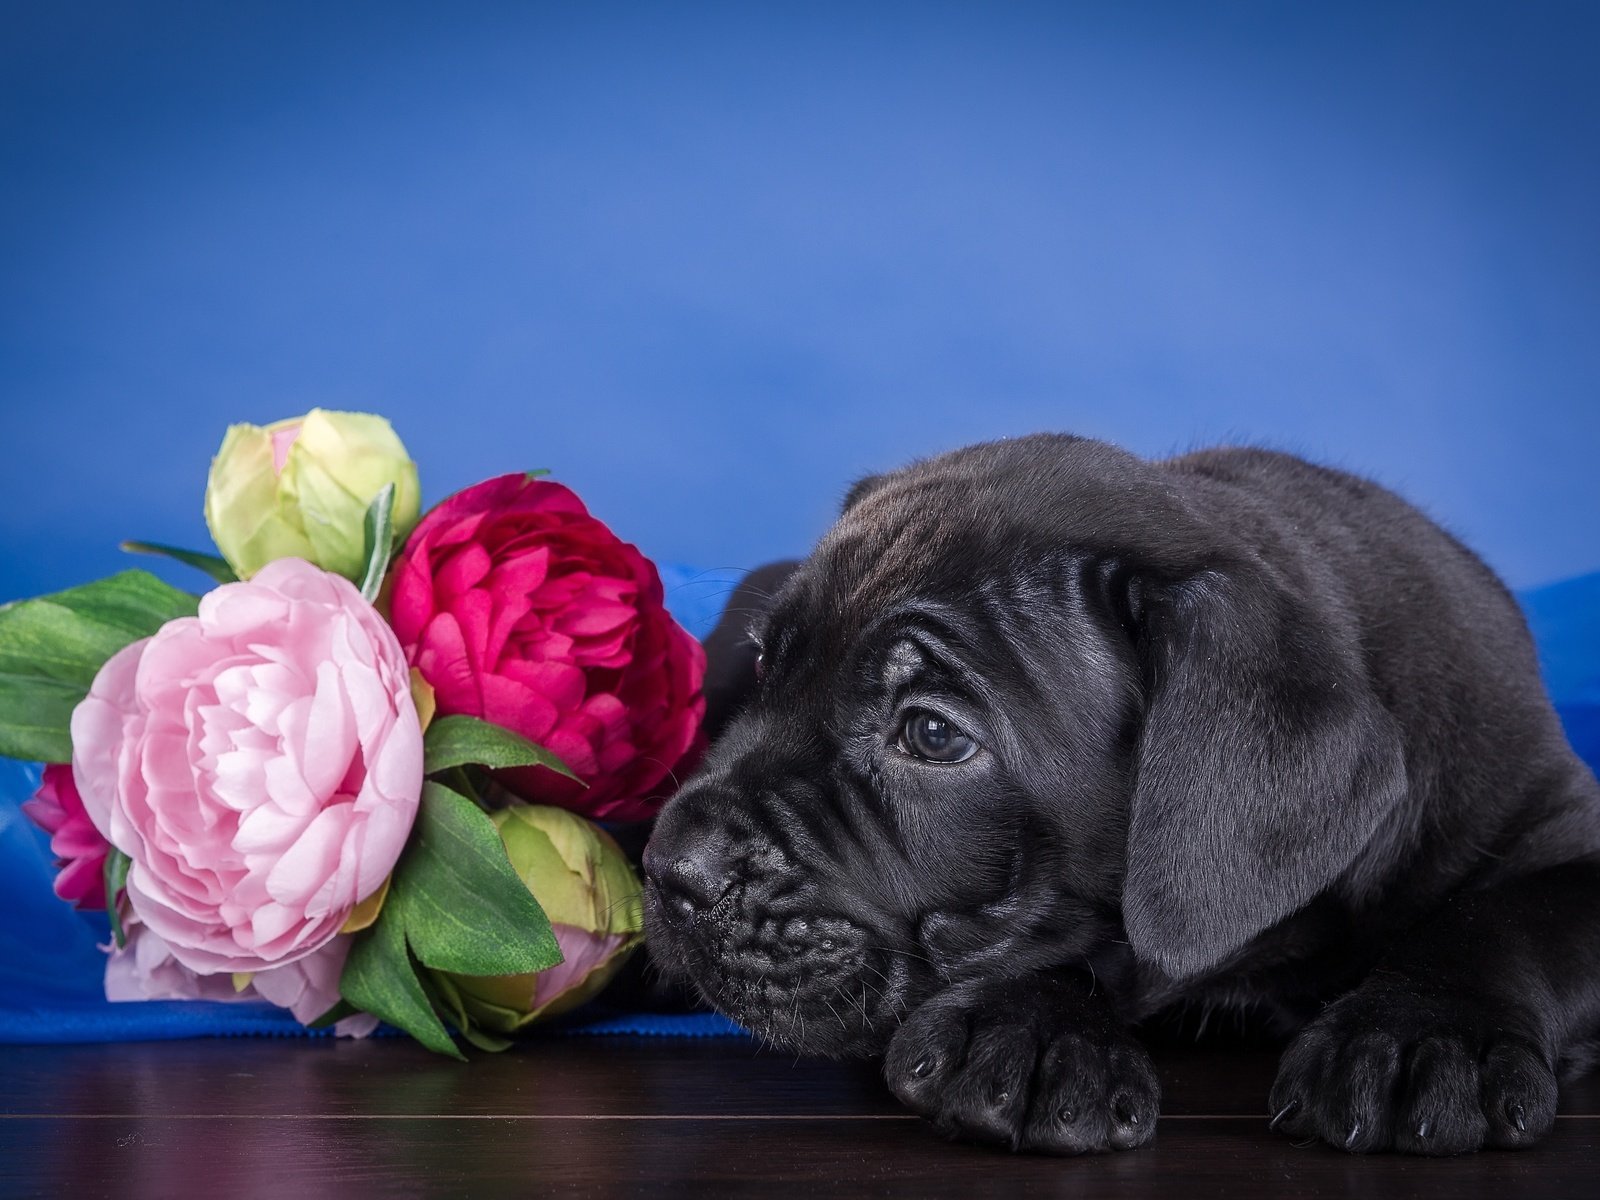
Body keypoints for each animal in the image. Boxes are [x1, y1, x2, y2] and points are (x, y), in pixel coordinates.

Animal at [636, 432, 1600, 1158]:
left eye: (933, 735)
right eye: (767, 663)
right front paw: (1031, 1031)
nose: (668, 868)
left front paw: (1422, 1033)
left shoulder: (1554, 817)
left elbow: (1515, 916)